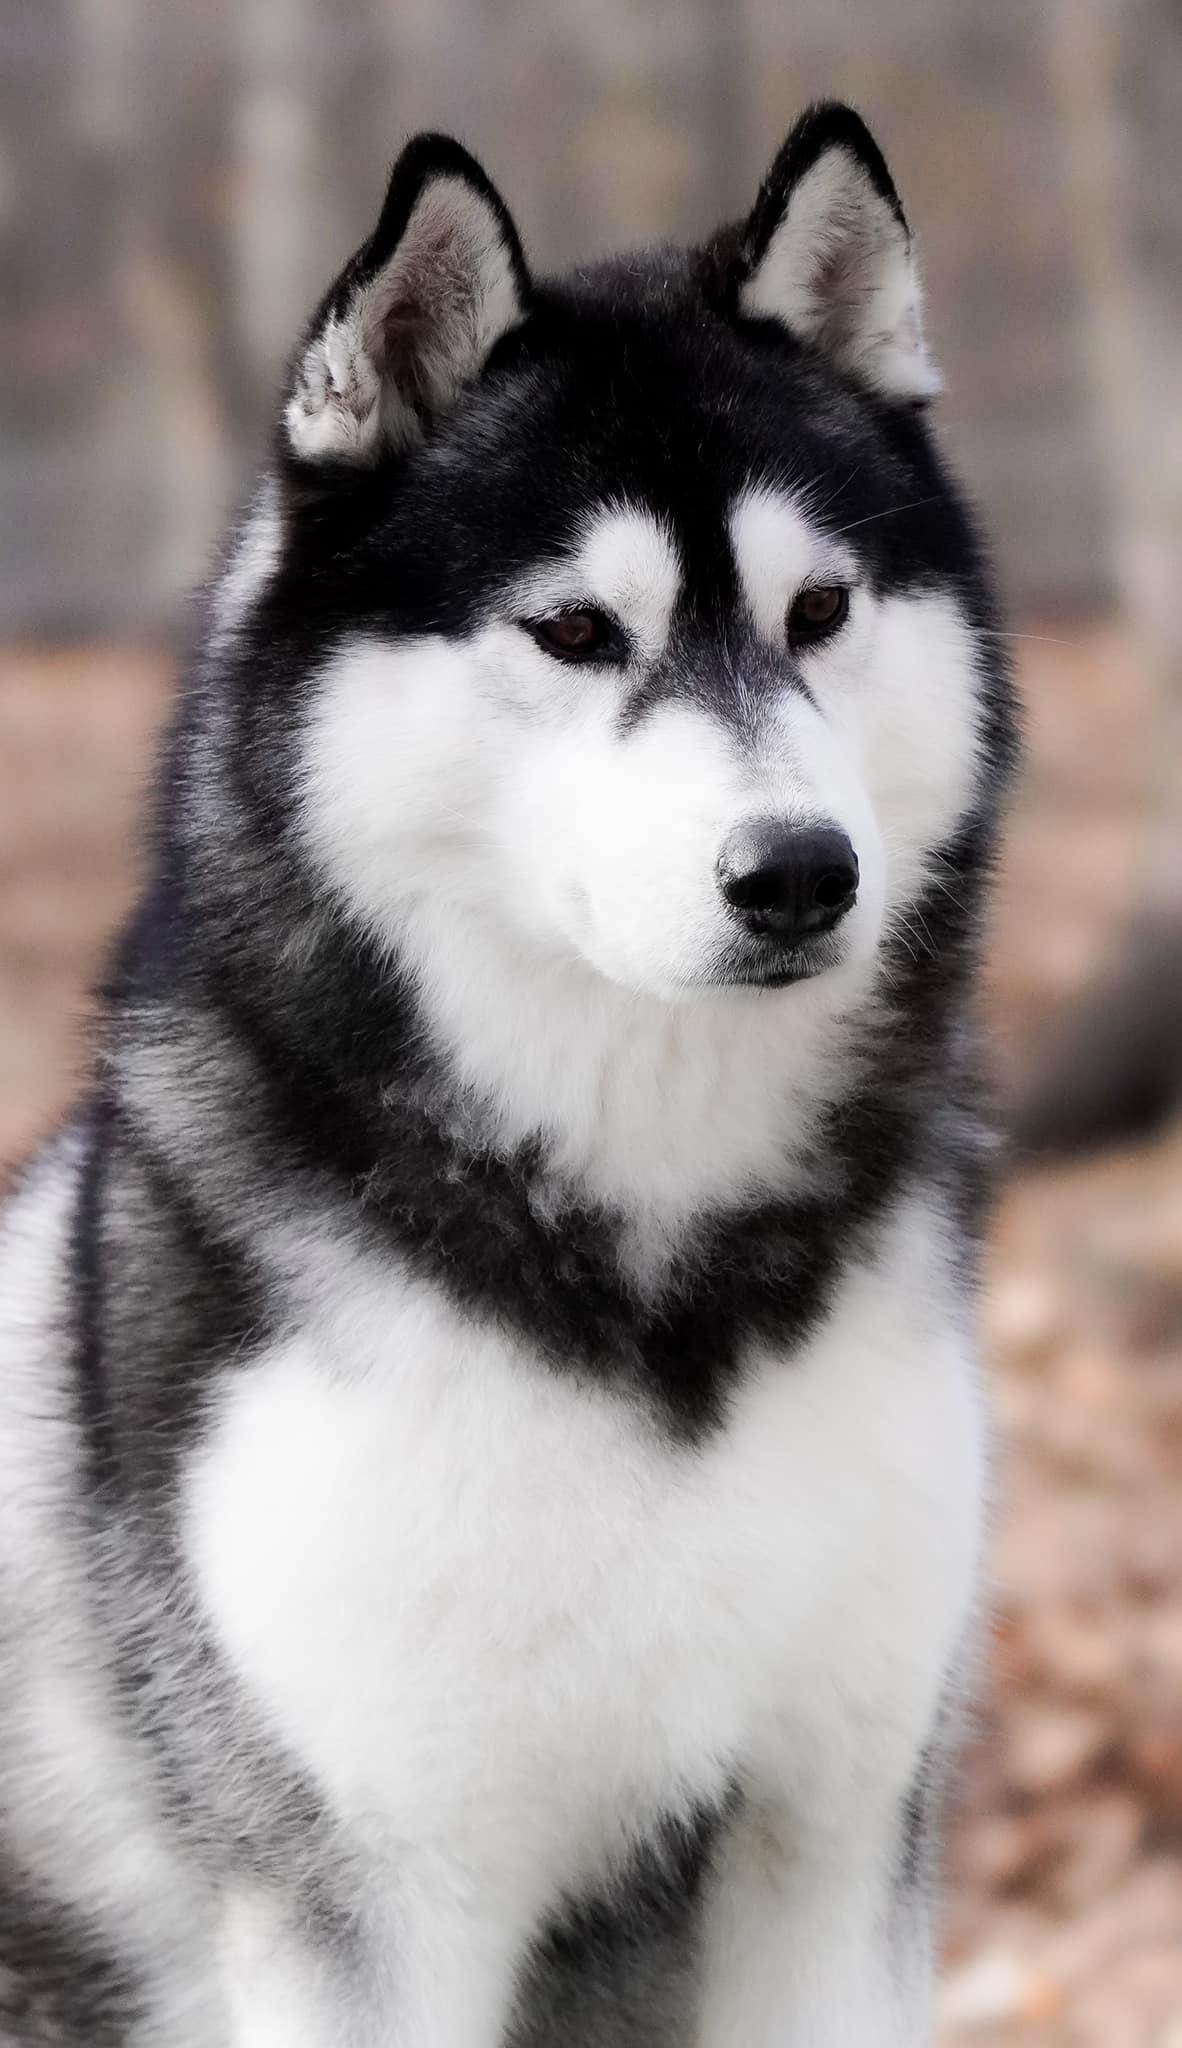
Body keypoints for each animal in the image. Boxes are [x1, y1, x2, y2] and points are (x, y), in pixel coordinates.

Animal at [0, 102, 1016, 2046]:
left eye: (820, 609)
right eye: (572, 630)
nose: (799, 872)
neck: (647, 1256)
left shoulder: (838, 1836)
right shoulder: (372, 1894)